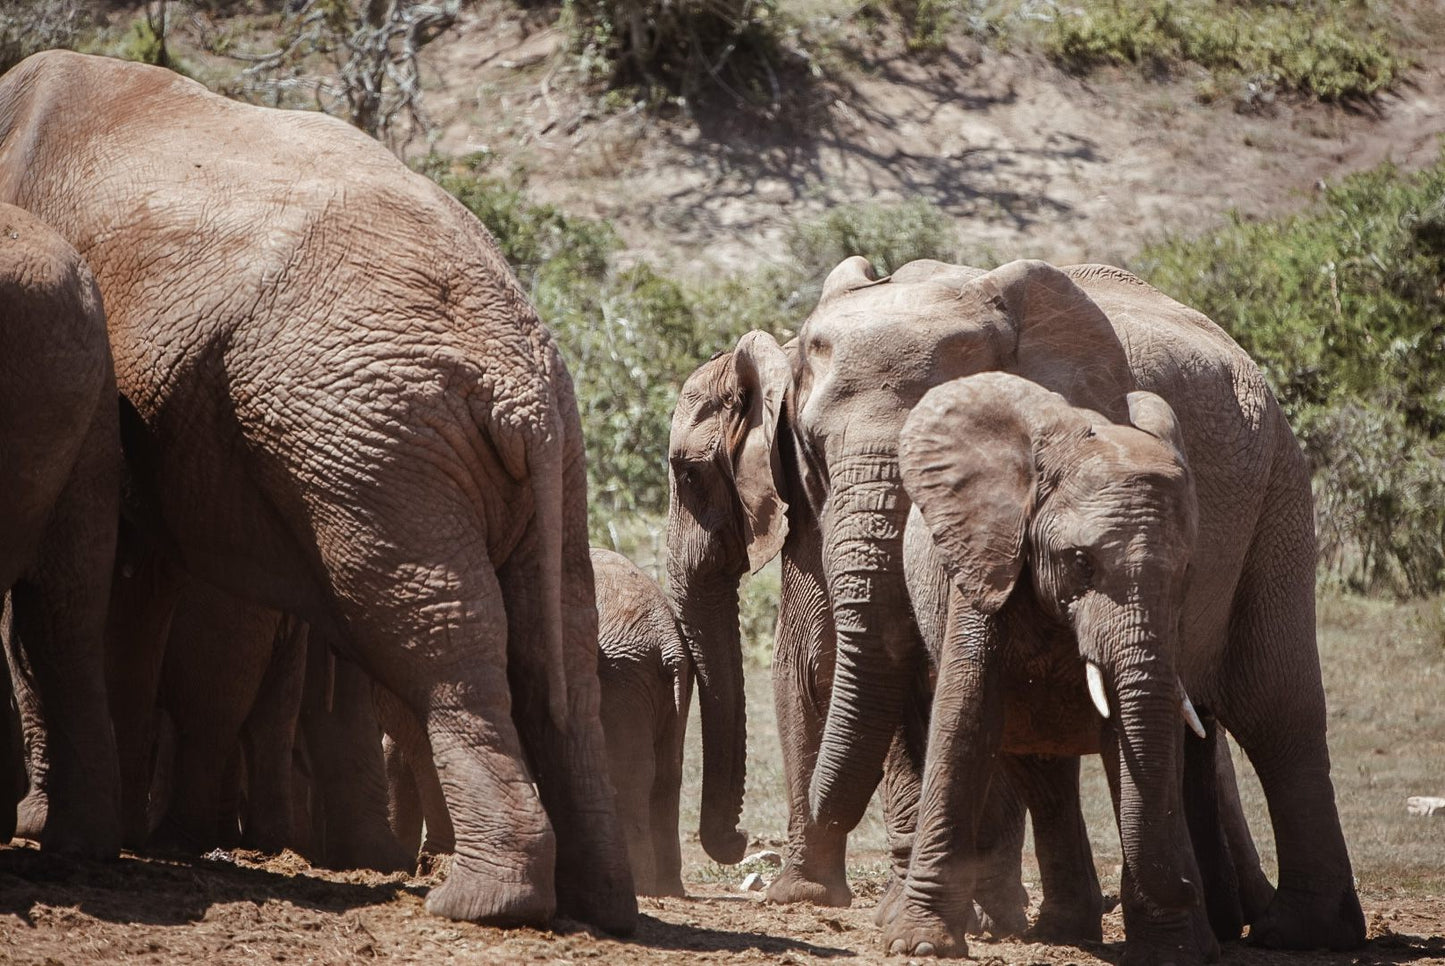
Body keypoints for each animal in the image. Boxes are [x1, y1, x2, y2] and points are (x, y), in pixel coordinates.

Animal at [0, 49, 632, 929]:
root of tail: (515, 382)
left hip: (369, 436)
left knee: (436, 634)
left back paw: (482, 905)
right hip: (534, 454)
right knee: (554, 644)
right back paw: (602, 908)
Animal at [890, 369, 1208, 958]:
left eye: (1186, 572)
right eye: (1081, 561)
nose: (1186, 884)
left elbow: (1139, 742)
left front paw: (1173, 954)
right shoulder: (987, 558)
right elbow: (966, 718)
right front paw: (921, 946)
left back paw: (1069, 931)